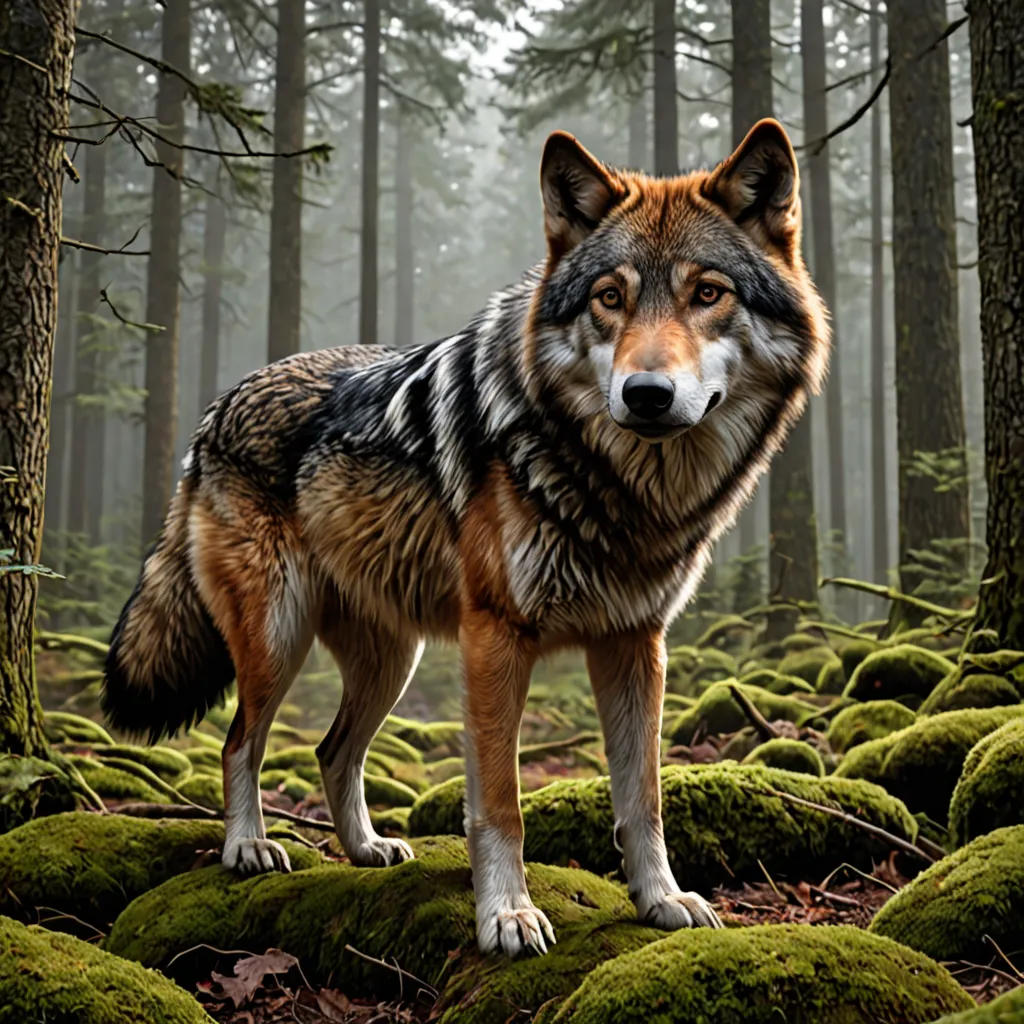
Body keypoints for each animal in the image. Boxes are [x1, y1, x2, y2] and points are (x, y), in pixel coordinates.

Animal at [103, 119, 828, 956]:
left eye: (707, 294)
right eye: (610, 299)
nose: (646, 395)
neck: (617, 487)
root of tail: (218, 407)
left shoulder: (635, 644)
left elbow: (642, 798)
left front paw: (660, 900)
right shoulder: (496, 637)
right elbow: (501, 805)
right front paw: (506, 915)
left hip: (394, 661)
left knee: (330, 751)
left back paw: (366, 849)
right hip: (279, 637)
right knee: (239, 744)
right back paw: (248, 846)